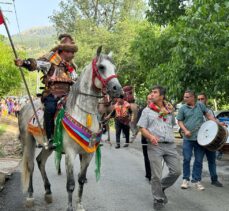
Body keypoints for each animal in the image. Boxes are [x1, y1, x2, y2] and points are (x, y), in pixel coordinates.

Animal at [18, 46, 122, 211]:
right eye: (101, 67)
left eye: (114, 67)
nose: (118, 90)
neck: (83, 114)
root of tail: (25, 107)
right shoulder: (70, 153)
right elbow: (71, 184)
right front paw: (69, 207)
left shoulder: (88, 154)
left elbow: (81, 180)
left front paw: (79, 205)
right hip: (28, 141)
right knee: (30, 166)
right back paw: (30, 196)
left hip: (48, 146)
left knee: (40, 161)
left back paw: (48, 192)